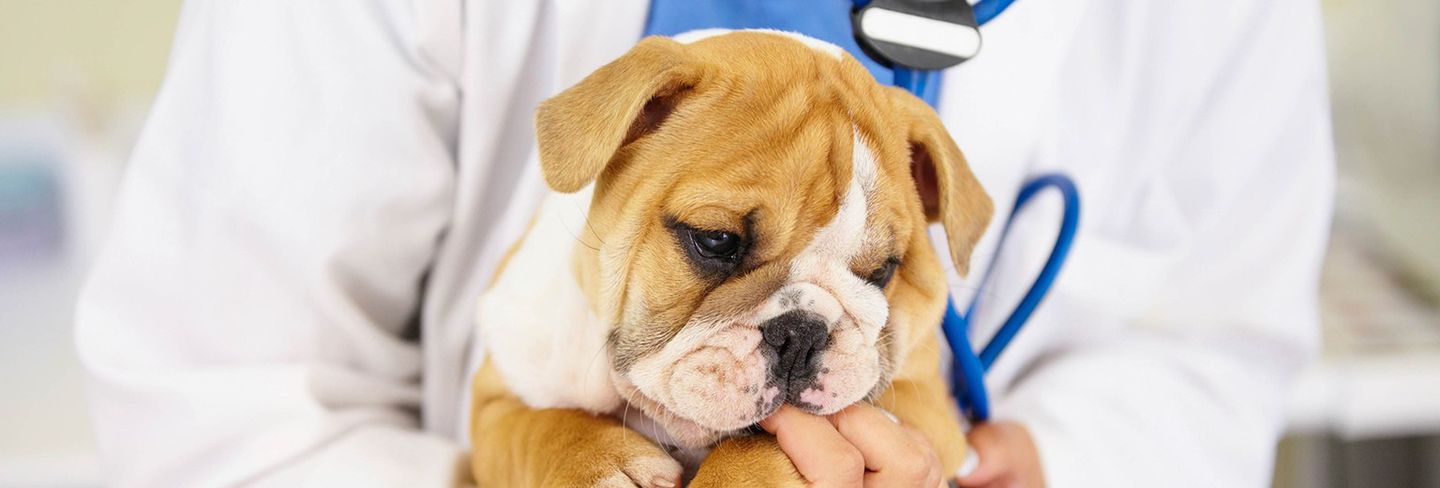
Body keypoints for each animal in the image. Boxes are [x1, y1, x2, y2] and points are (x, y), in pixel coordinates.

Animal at [469, 28, 990, 486]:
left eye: (881, 271)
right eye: (716, 240)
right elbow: (538, 429)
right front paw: (597, 464)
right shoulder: (497, 397)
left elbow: (753, 454)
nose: (801, 332)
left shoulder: (925, 409)